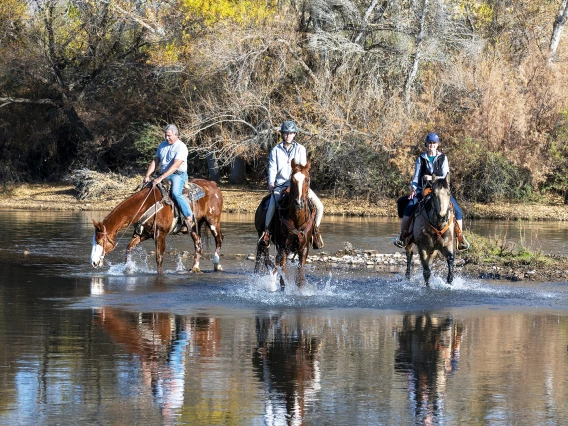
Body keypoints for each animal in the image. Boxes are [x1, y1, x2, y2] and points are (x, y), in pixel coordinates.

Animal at [90, 178, 223, 274]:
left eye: (99, 241)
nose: (93, 262)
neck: (144, 205)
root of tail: (213, 185)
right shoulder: (142, 234)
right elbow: (129, 249)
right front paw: (128, 269)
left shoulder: (160, 234)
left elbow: (159, 258)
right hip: (195, 226)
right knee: (198, 243)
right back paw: (195, 267)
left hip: (213, 221)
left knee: (219, 239)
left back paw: (217, 264)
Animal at [255, 158, 318, 292]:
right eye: (292, 180)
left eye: (307, 179)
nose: (299, 202)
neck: (297, 219)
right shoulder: (283, 247)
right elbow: (283, 275)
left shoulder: (303, 249)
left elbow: (299, 277)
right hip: (262, 239)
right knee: (264, 259)